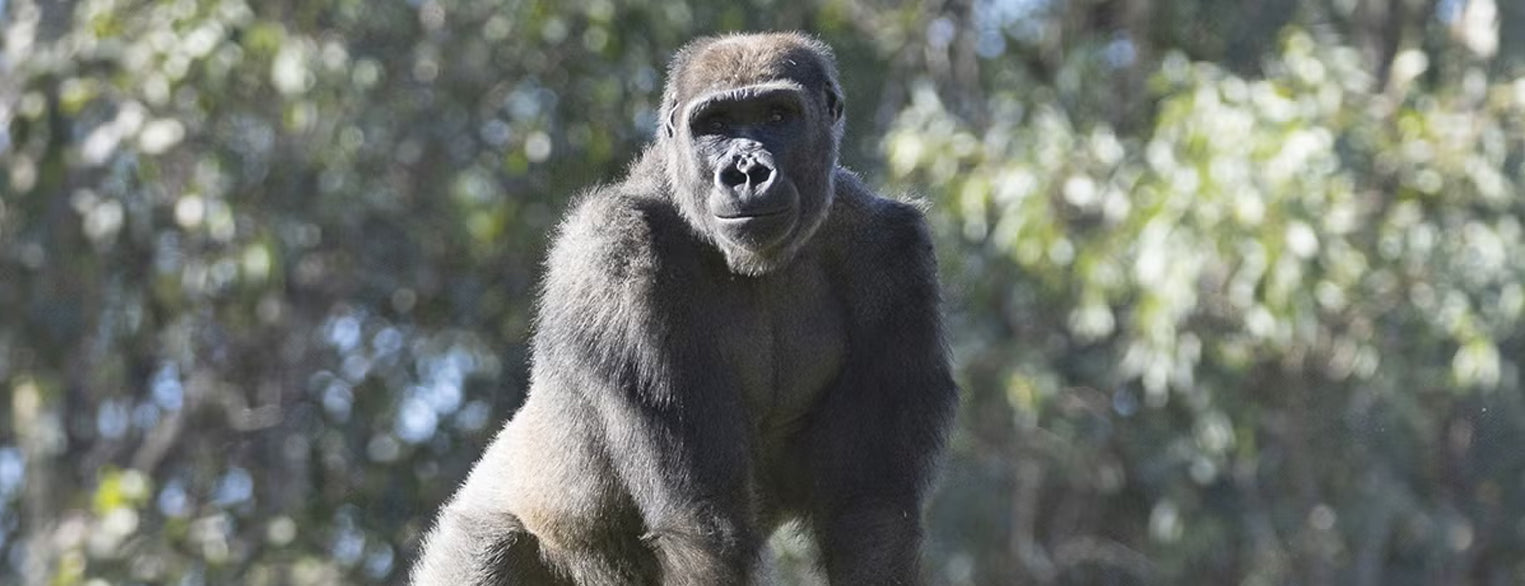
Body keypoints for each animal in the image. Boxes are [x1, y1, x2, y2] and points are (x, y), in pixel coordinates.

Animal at [412, 32, 956, 585]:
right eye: (715, 124)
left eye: (777, 116)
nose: (747, 172)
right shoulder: (613, 251)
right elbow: (701, 527)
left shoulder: (895, 254)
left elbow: (869, 515)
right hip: (476, 536)